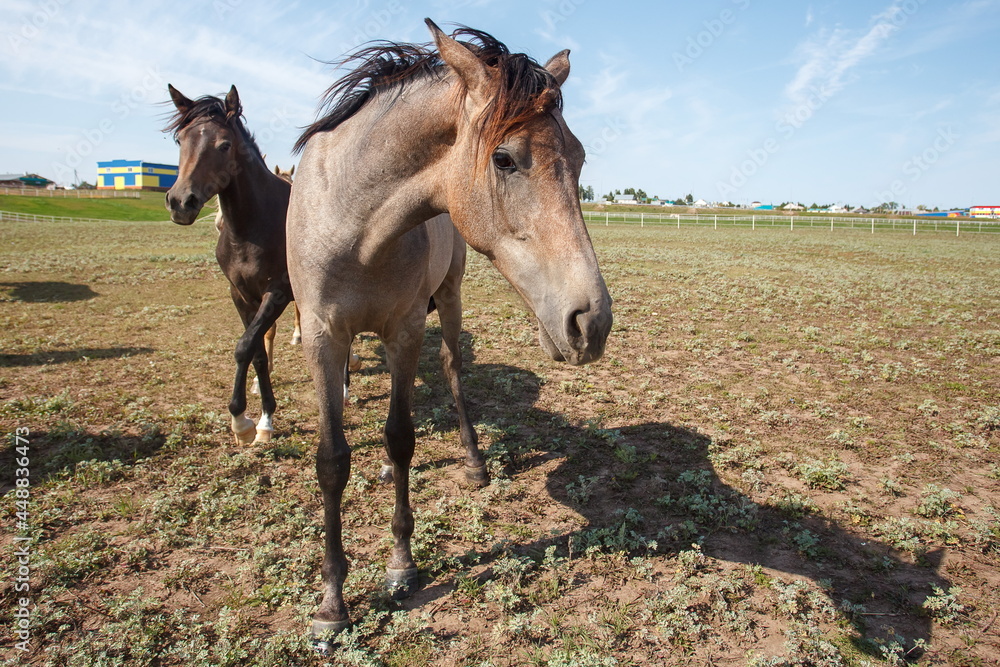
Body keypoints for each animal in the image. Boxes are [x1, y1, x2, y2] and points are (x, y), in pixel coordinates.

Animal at [164, 84, 292, 444]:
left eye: (224, 144)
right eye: (179, 140)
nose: (180, 202)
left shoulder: (277, 293)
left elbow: (243, 346)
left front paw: (240, 419)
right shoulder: (240, 295)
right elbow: (257, 352)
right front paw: (264, 419)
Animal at [287, 20, 612, 647]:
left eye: (582, 158)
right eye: (505, 159)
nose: (592, 321)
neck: (354, 221)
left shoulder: (408, 330)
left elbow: (401, 436)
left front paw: (401, 565)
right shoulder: (321, 337)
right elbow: (332, 460)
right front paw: (332, 604)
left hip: (451, 300)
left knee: (454, 372)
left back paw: (474, 462)